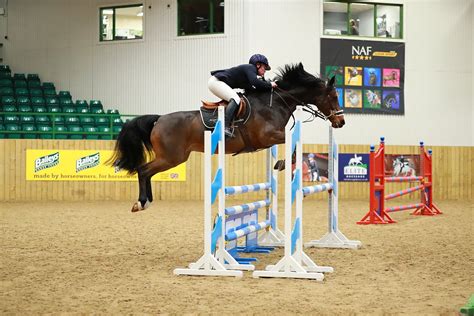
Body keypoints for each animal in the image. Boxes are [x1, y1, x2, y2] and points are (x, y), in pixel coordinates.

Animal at [109, 62, 346, 212]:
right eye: (333, 96)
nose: (341, 122)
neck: (276, 102)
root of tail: (158, 120)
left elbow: (295, 148)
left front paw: (281, 165)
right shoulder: (268, 137)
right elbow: (294, 147)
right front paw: (281, 164)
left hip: (172, 158)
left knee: (146, 172)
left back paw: (146, 202)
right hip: (171, 158)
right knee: (143, 170)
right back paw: (141, 203)